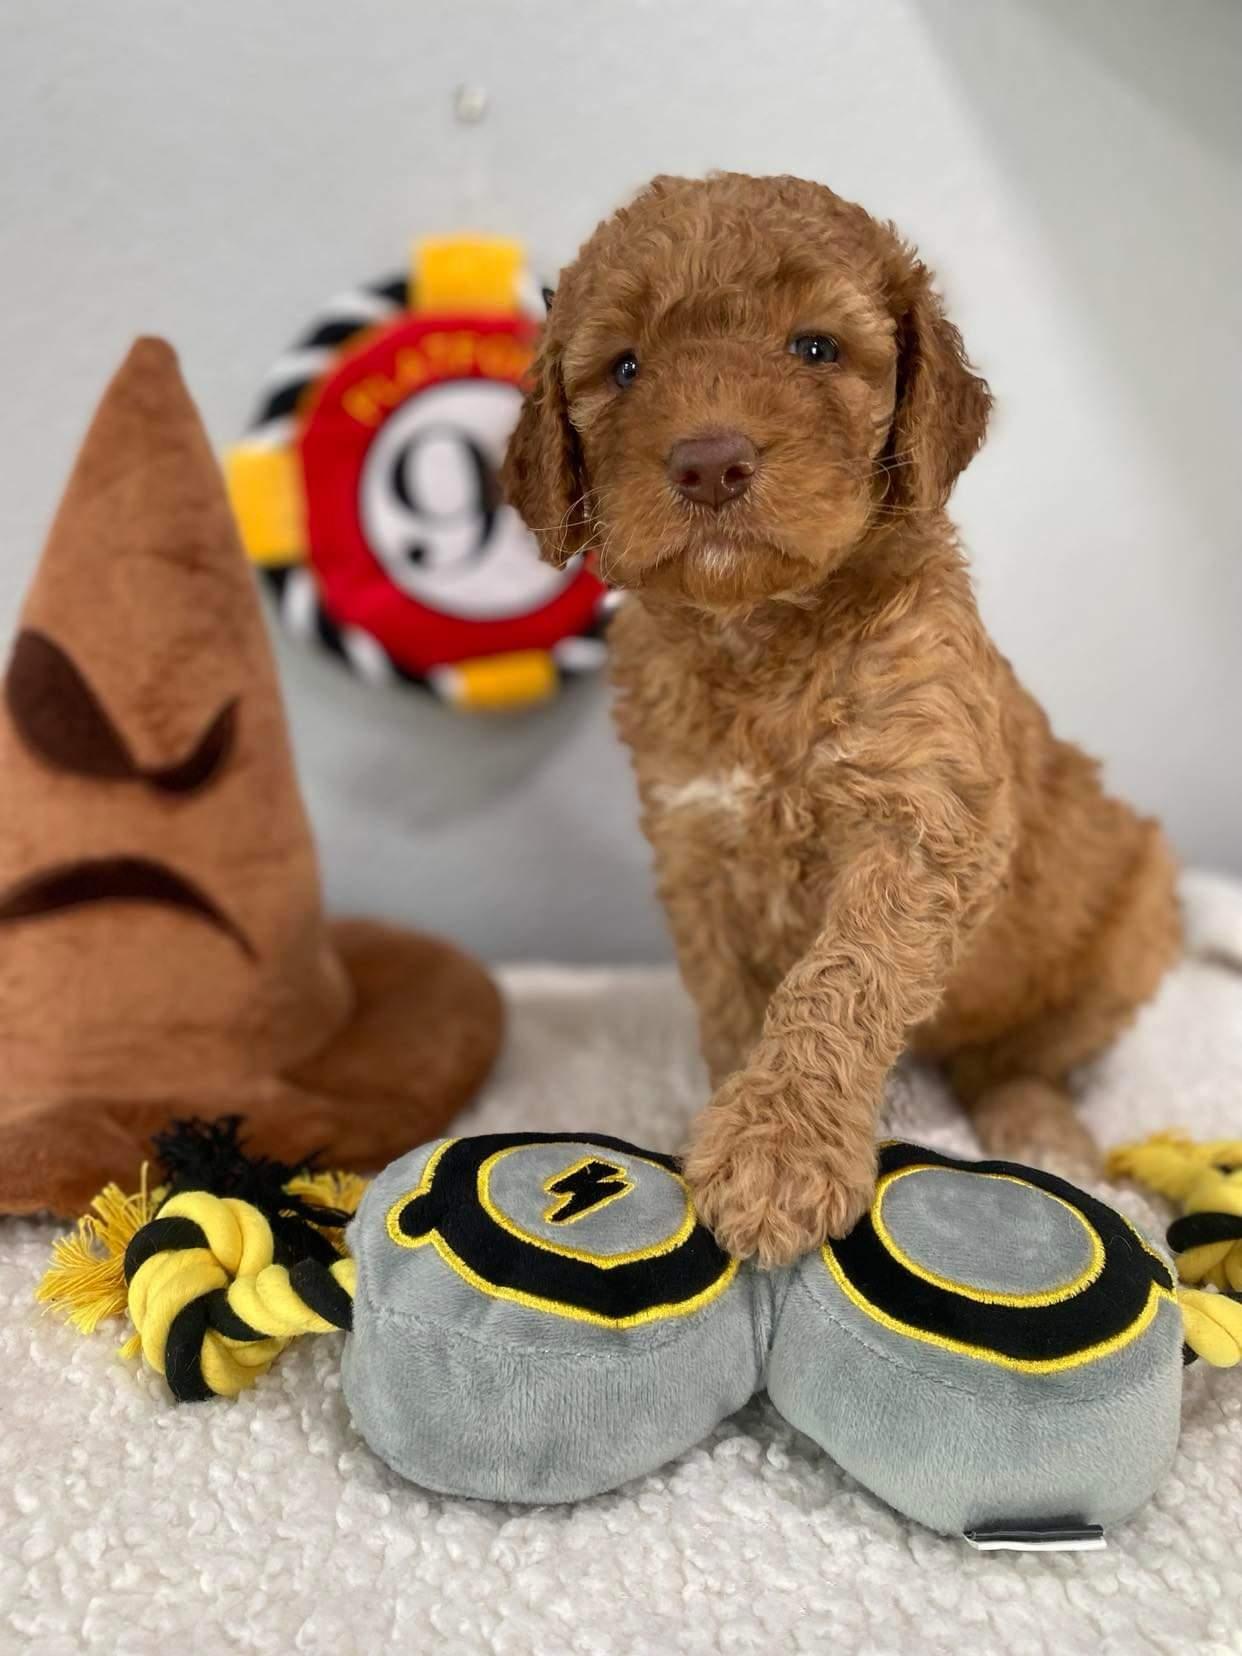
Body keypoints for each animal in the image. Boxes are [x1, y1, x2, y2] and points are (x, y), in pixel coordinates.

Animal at [503, 172, 1181, 1265]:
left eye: (815, 348)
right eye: (625, 367)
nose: (710, 462)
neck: (761, 639)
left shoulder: (926, 820)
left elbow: (839, 977)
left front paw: (776, 1152)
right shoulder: (696, 844)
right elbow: (733, 1004)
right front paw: (734, 1119)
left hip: (1135, 915)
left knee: (1019, 1057)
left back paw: (1042, 1130)